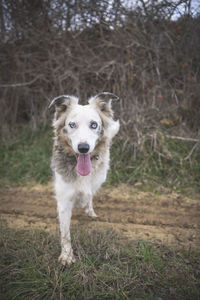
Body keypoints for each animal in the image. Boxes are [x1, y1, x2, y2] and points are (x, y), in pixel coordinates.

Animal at [49, 92, 119, 264]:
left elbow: (88, 197)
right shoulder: (64, 198)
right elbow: (65, 233)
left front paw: (89, 211)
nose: (83, 148)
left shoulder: (93, 184)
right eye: (72, 124)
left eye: (94, 125)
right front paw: (67, 256)